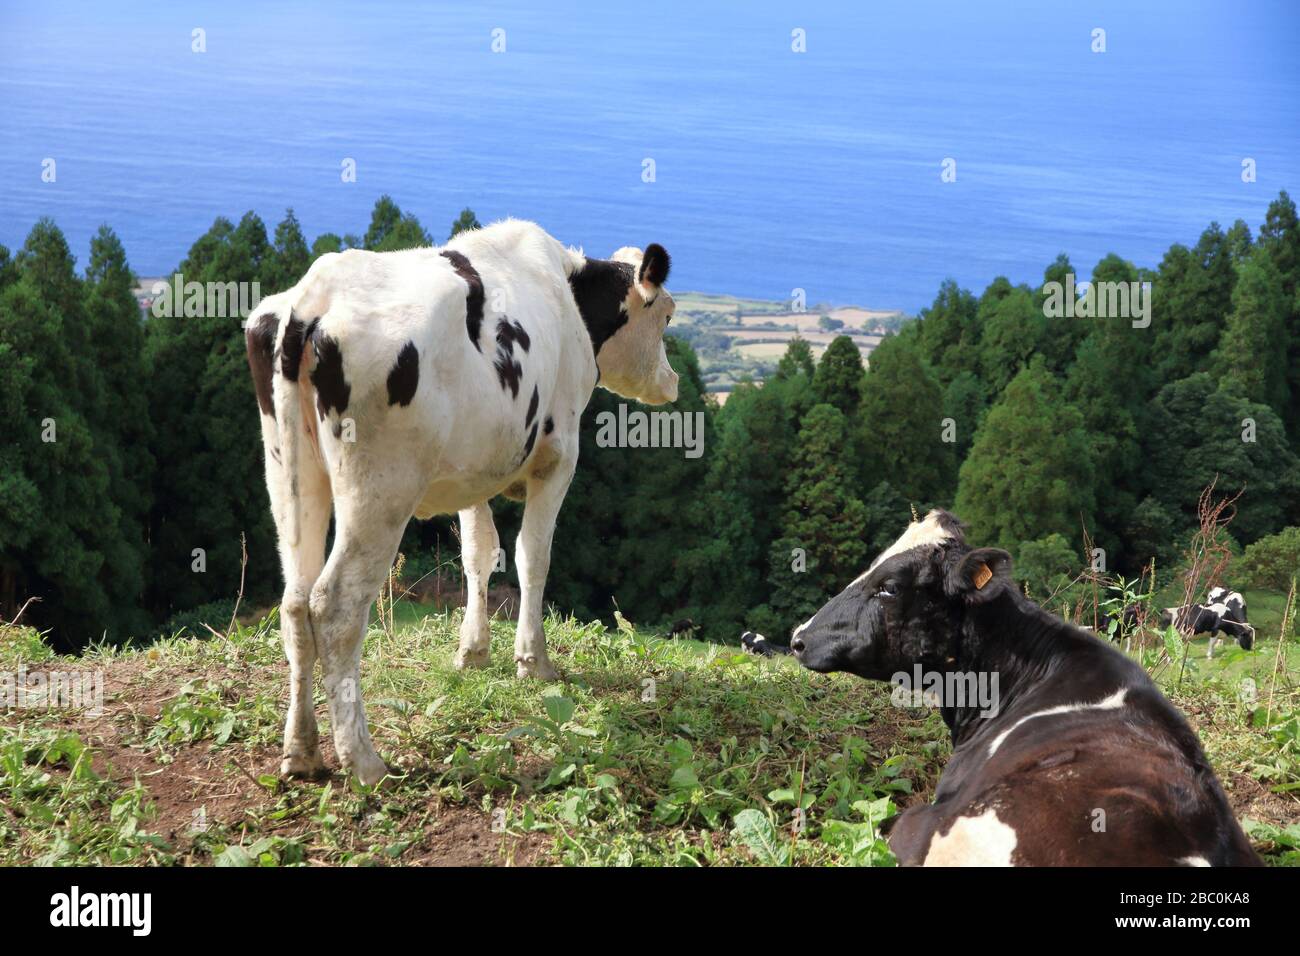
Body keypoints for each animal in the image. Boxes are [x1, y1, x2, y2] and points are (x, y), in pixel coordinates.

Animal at [246, 218, 686, 785]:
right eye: (667, 317)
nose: (672, 382)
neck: (568, 297)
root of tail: (311, 298)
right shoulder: (559, 457)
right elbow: (532, 556)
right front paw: (533, 662)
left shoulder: (470, 472)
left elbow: (478, 553)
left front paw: (473, 651)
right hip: (380, 490)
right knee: (336, 607)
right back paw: (363, 760)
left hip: (290, 475)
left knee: (296, 604)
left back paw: (301, 752)